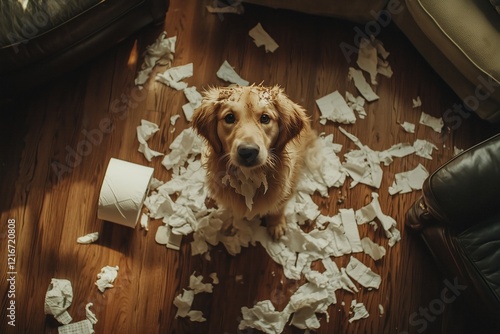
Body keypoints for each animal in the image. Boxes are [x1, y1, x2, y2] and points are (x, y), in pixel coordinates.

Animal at [192, 85, 316, 239]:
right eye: (229, 117)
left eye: (265, 118)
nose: (247, 151)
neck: (250, 177)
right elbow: (234, 210)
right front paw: (233, 223)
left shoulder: (285, 191)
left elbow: (277, 207)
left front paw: (276, 224)